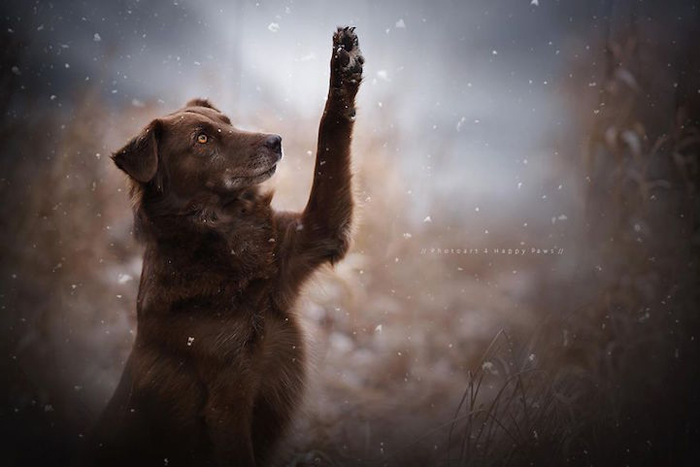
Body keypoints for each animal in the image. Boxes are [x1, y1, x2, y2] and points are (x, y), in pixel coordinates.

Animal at [85, 27, 364, 466]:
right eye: (202, 139)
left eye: (228, 123)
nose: (276, 140)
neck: (222, 239)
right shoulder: (226, 403)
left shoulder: (316, 233)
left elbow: (331, 143)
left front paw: (343, 65)